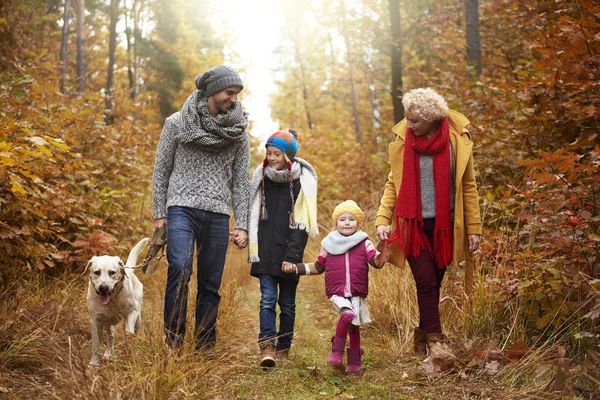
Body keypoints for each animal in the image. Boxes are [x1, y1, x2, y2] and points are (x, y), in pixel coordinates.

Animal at [85, 238, 149, 366]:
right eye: (97, 272)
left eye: (112, 272)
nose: (103, 287)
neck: (112, 299)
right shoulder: (95, 320)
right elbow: (96, 344)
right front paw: (94, 363)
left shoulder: (131, 312)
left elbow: (128, 333)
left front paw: (128, 351)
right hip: (106, 321)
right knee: (111, 335)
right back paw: (109, 353)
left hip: (138, 318)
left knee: (134, 333)